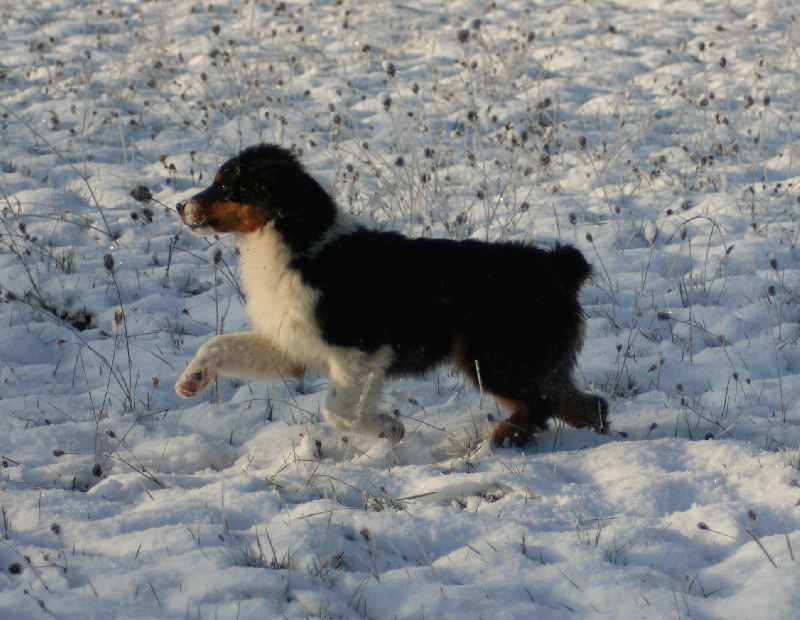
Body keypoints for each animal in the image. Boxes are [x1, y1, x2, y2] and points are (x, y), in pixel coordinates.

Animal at [172, 143, 604, 448]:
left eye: (225, 184)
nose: (179, 205)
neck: (300, 247)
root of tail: (558, 267)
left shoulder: (360, 348)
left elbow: (338, 411)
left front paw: (387, 428)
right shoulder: (291, 343)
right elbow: (221, 343)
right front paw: (192, 380)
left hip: (494, 353)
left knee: (543, 402)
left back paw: (501, 438)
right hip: (531, 357)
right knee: (586, 404)